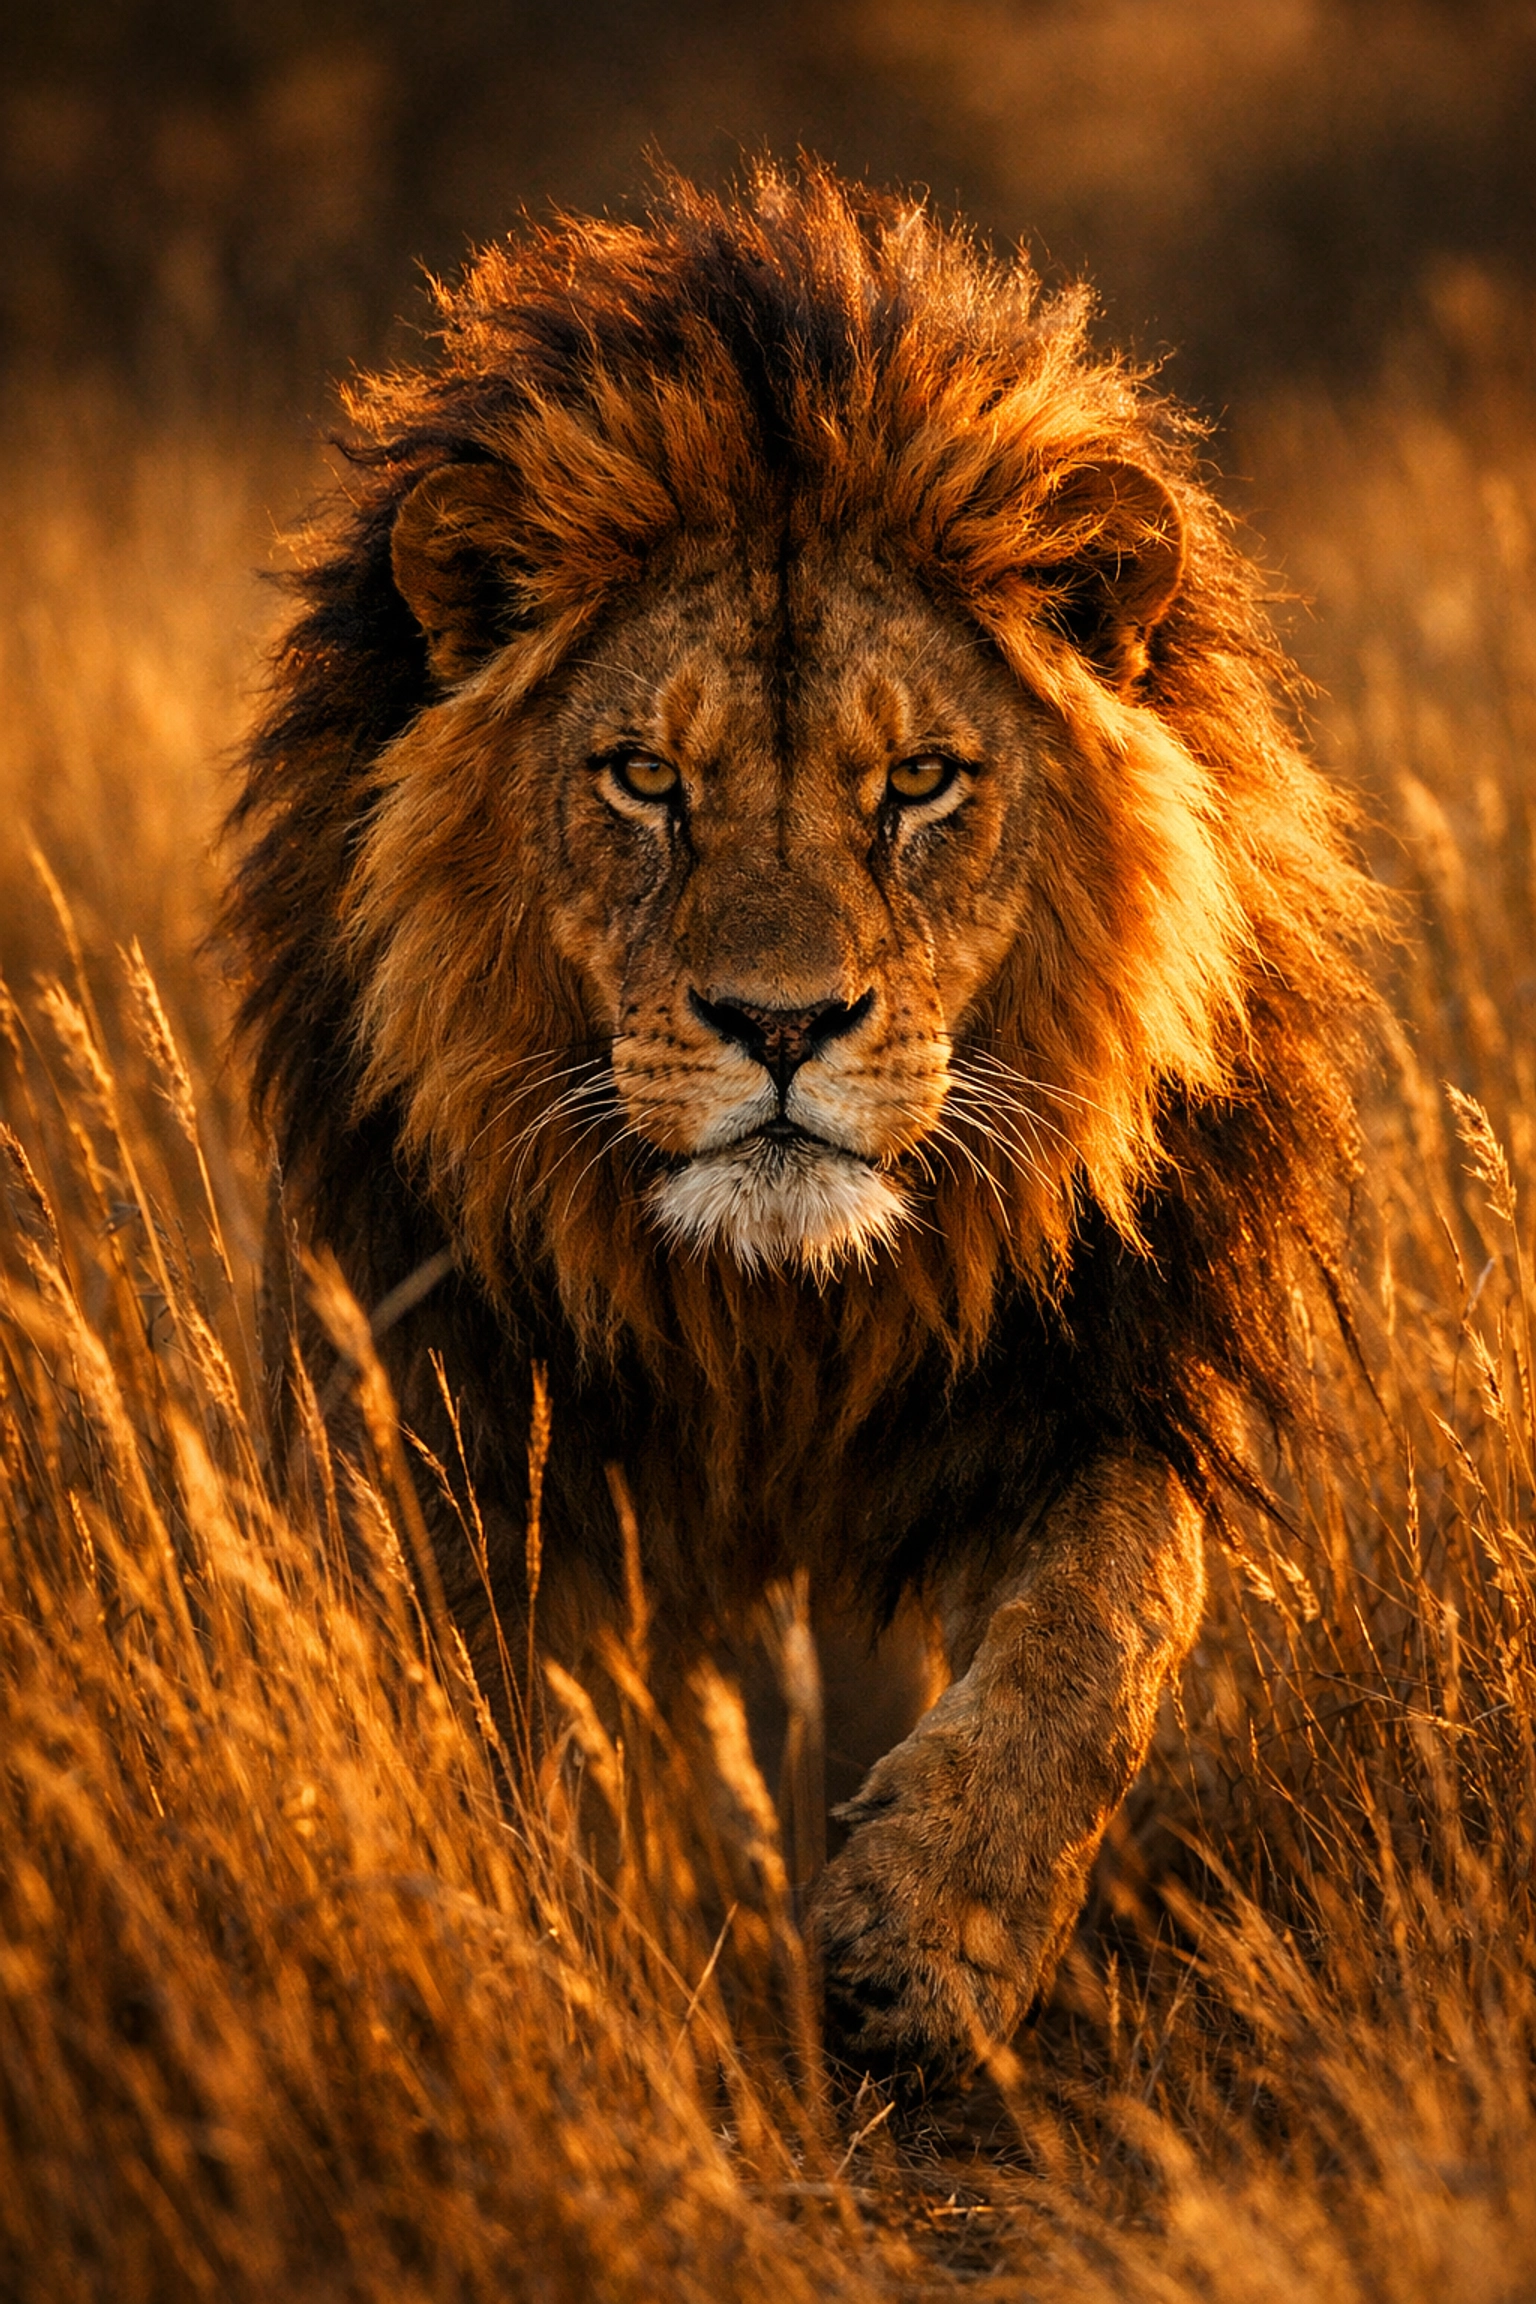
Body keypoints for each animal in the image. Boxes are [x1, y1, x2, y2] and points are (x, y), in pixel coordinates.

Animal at [226, 163, 1373, 2083]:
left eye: (916, 782)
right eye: (644, 779)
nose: (779, 1025)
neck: (779, 1323)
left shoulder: (1100, 1364)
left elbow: (1110, 1619)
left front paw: (929, 1935)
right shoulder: (460, 1408)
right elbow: (490, 1708)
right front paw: (539, 1943)